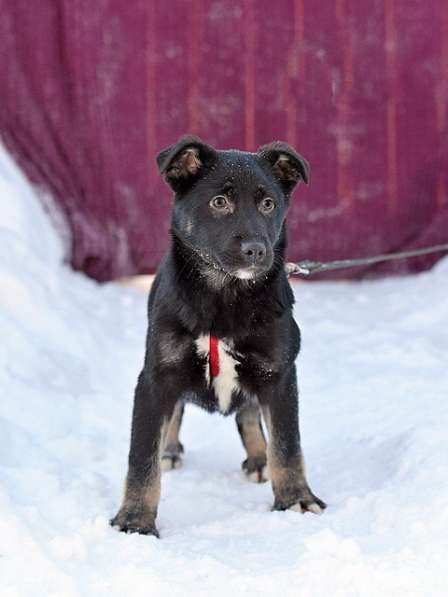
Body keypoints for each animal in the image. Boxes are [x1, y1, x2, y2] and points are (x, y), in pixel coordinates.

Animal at [111, 135, 326, 536]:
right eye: (219, 202)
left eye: (268, 204)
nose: (256, 250)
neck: (225, 294)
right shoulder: (155, 378)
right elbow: (141, 456)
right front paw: (135, 520)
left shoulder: (278, 373)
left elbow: (287, 445)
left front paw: (295, 499)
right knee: (176, 414)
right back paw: (170, 450)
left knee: (249, 414)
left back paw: (258, 459)